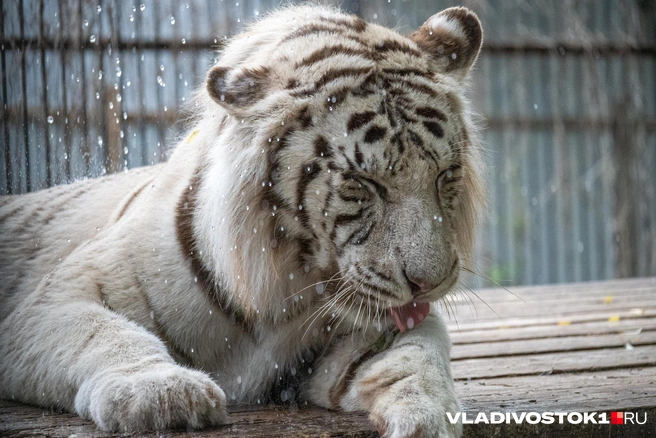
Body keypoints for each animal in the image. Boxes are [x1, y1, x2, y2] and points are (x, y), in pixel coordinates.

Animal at [0, 4, 484, 437]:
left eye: (445, 175)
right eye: (361, 183)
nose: (429, 284)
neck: (282, 286)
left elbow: (419, 348)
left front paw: (428, 413)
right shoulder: (53, 301)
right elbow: (103, 335)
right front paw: (163, 393)